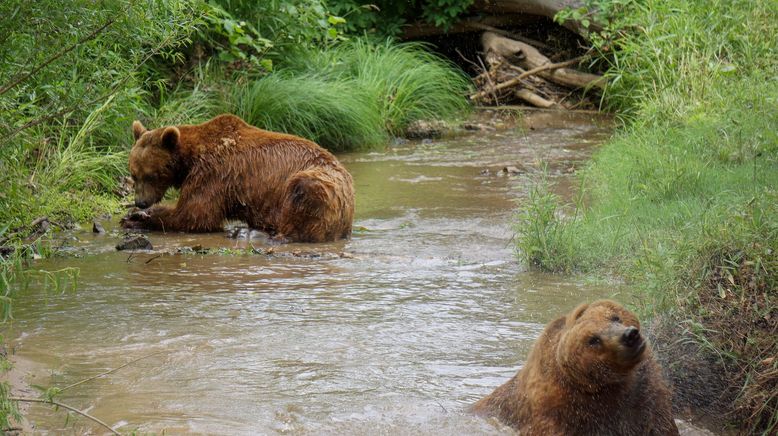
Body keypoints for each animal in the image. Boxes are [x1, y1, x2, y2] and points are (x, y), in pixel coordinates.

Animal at [121, 113, 354, 242]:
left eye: (152, 175)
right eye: (134, 174)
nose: (140, 202)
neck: (190, 160)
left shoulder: (214, 173)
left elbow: (194, 215)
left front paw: (137, 218)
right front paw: (134, 215)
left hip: (320, 184)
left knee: (302, 192)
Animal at [470, 300, 676, 436]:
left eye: (615, 317)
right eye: (593, 339)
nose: (630, 335)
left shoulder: (643, 394)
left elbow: (659, 424)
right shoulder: (559, 414)